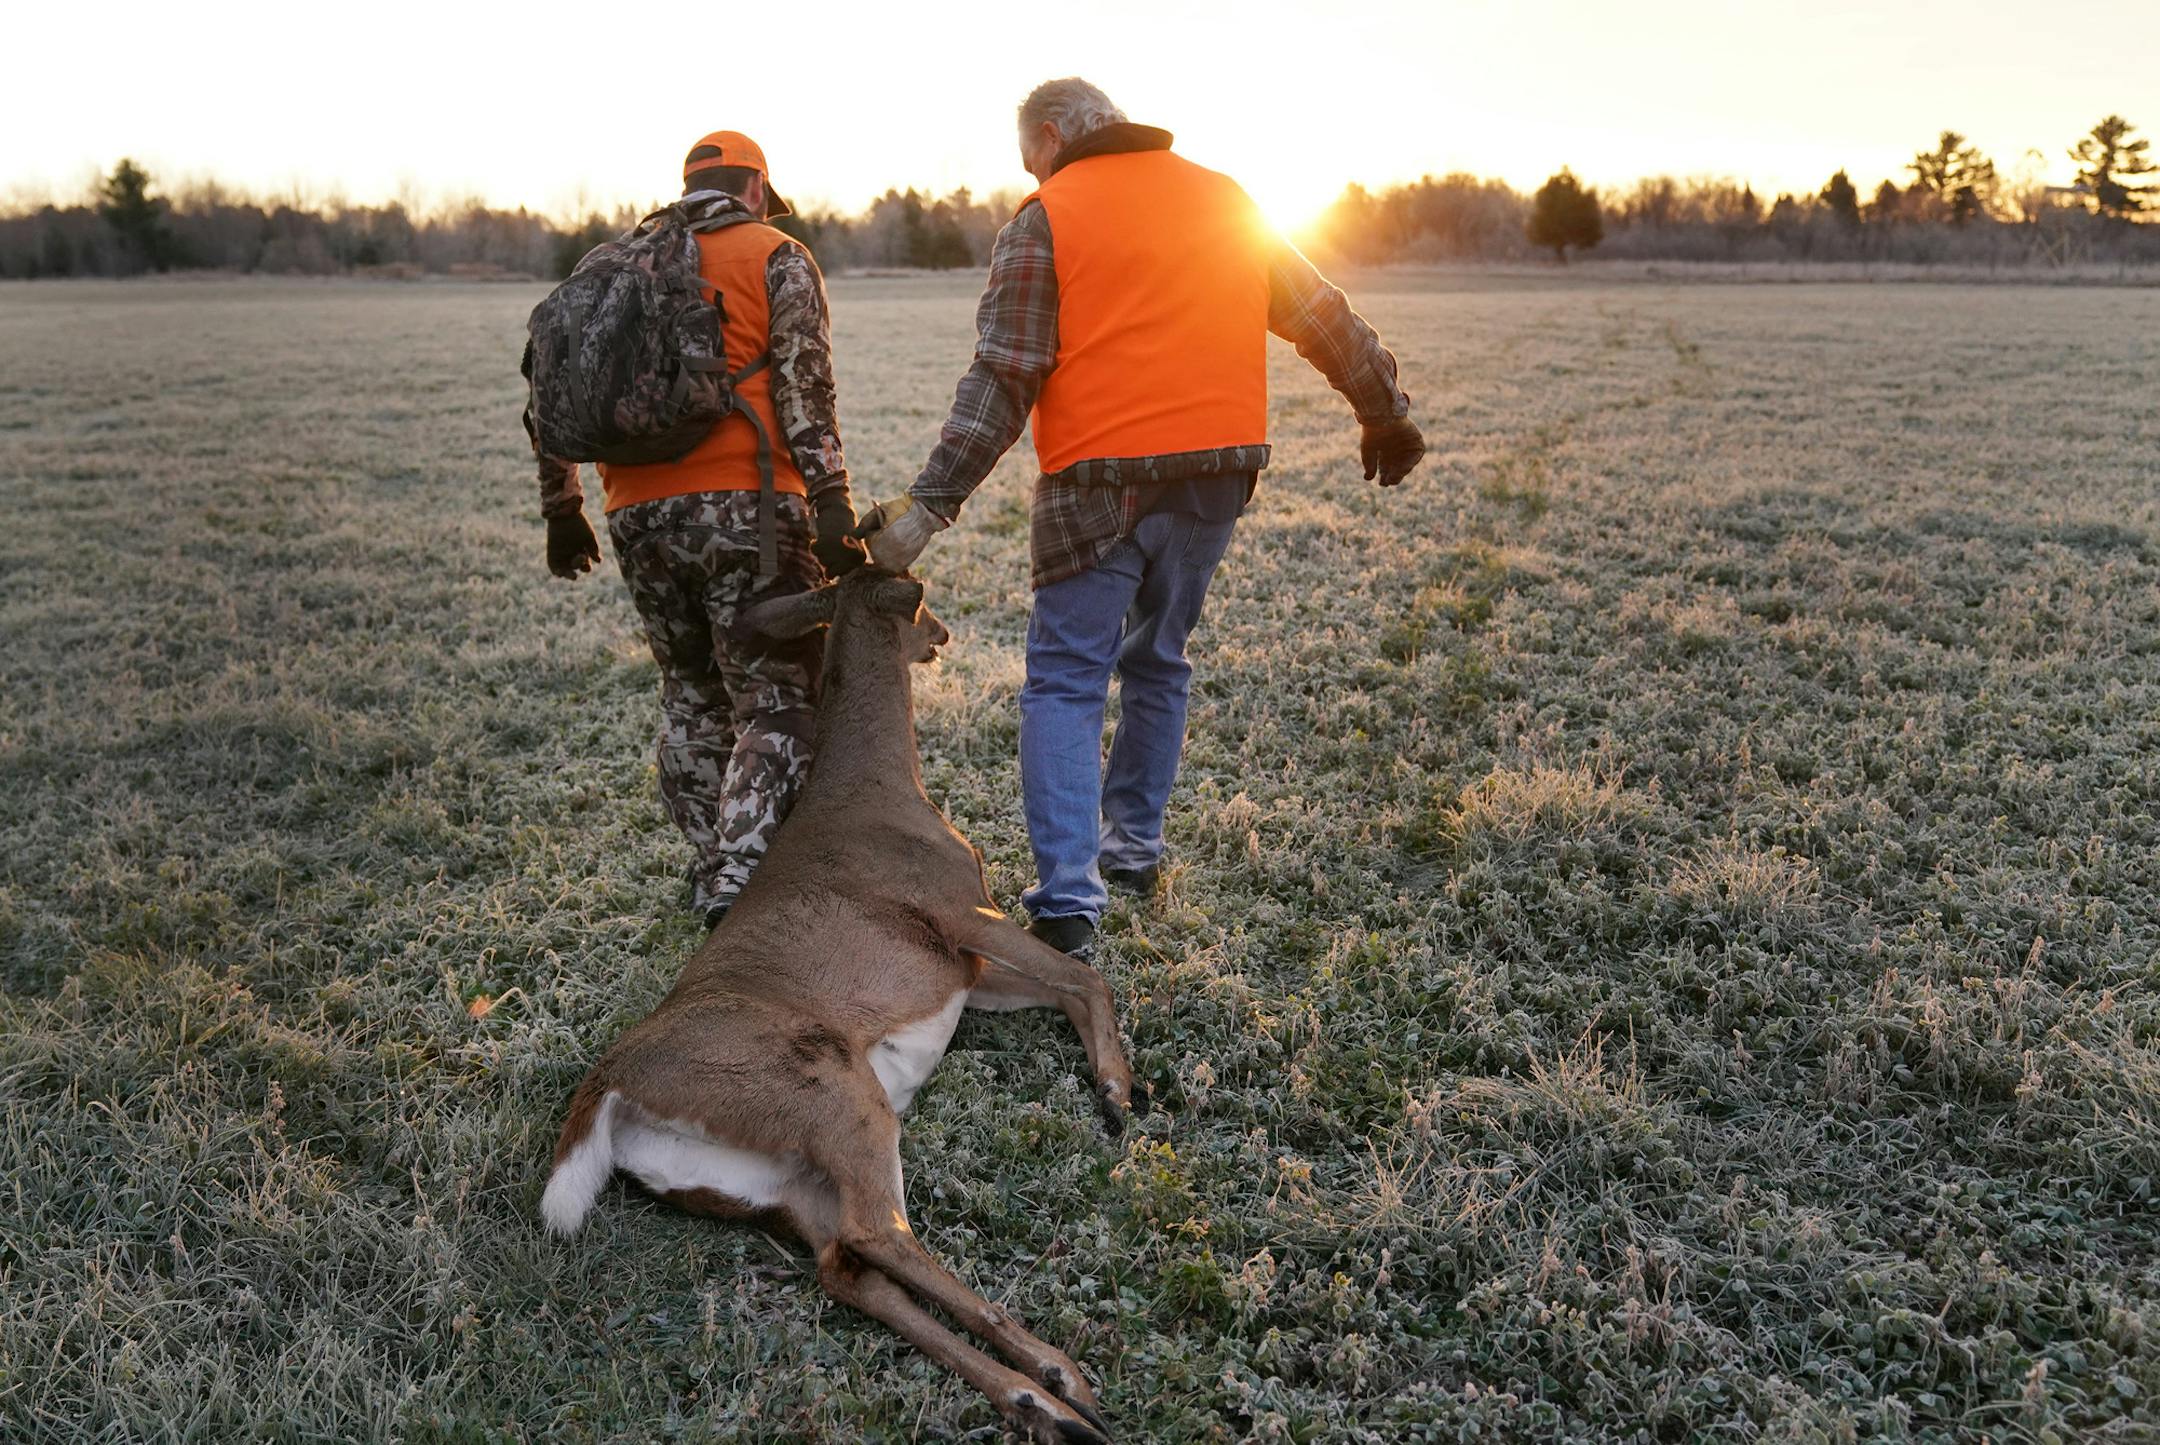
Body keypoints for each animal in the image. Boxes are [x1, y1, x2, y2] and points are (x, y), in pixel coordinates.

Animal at [540, 567, 1142, 1444]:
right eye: (915, 595)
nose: (943, 632)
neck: (879, 784)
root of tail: (608, 1085)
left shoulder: (964, 966)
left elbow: (1065, 986)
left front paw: (1109, 1085)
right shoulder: (960, 910)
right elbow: (1087, 976)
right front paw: (1117, 1094)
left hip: (778, 1181)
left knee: (845, 1269)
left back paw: (1043, 1405)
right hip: (830, 1087)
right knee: (878, 1231)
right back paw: (1060, 1375)